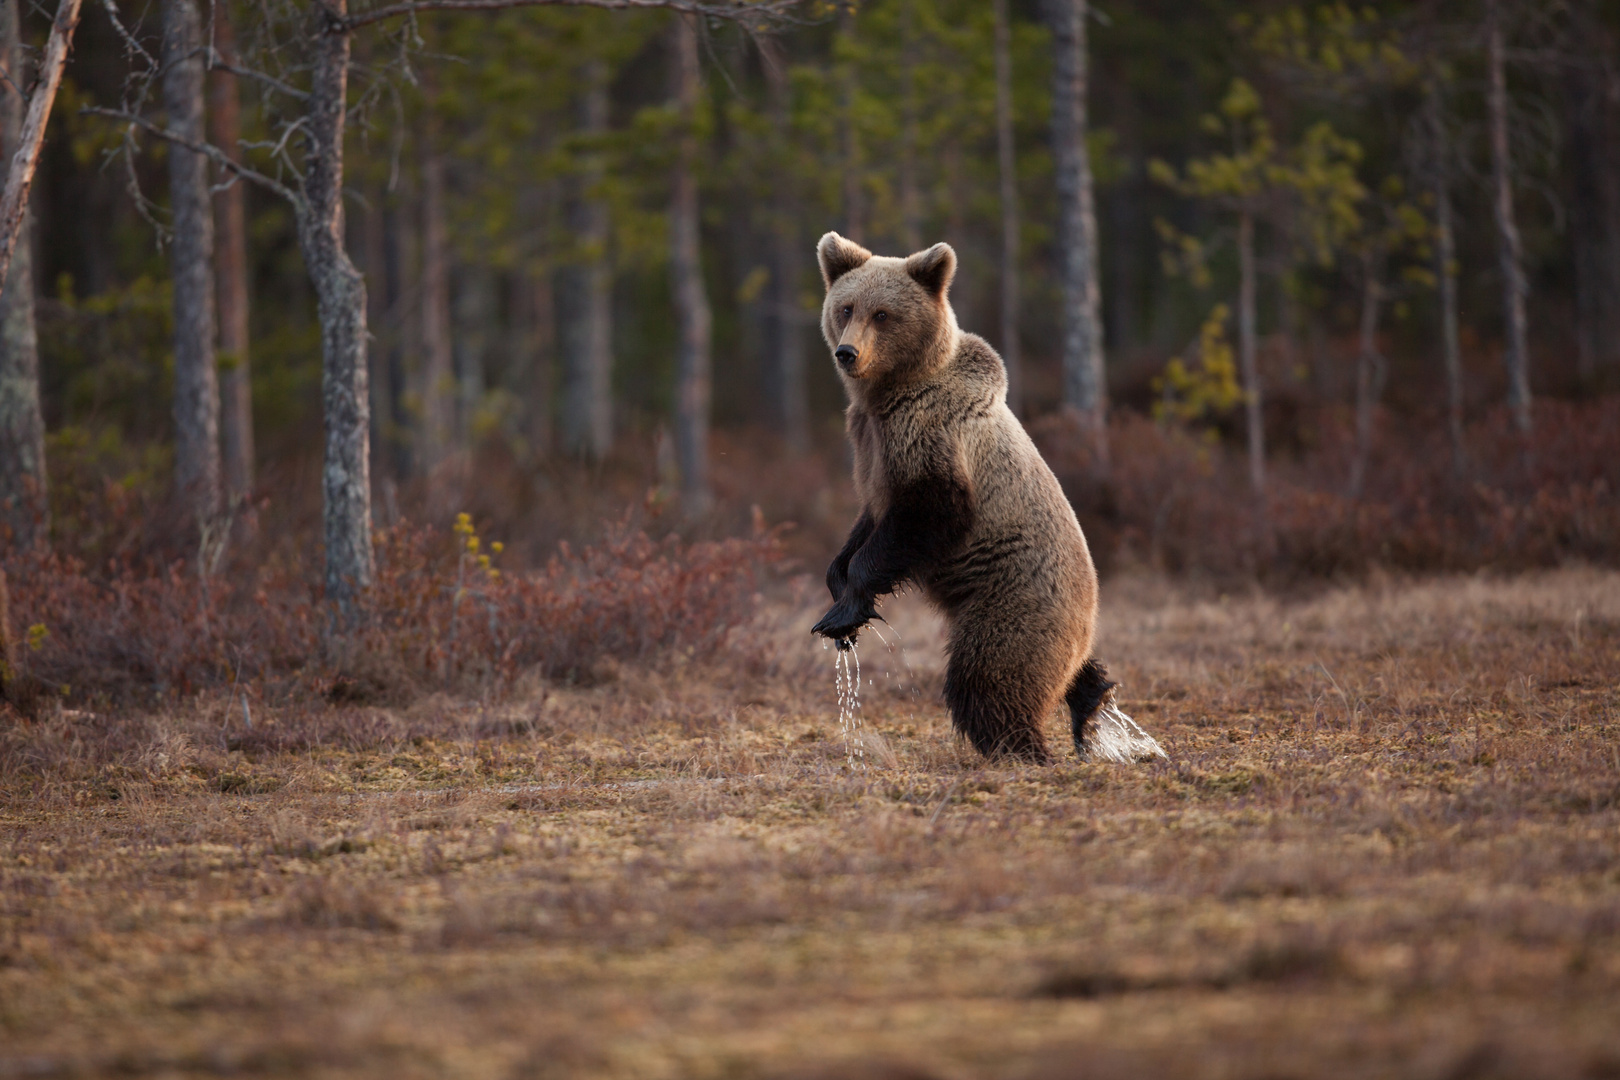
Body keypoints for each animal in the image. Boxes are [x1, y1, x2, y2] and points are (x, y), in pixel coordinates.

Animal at [810, 233, 1166, 764]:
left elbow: (928, 511)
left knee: (987, 675)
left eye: (883, 314)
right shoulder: (871, 446)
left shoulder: (929, 434)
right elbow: (868, 521)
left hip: (1012, 600)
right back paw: (1092, 705)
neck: (889, 394)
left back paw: (1024, 748)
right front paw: (837, 588)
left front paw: (840, 614)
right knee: (1069, 670)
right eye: (846, 307)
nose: (847, 353)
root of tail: (1093, 604)